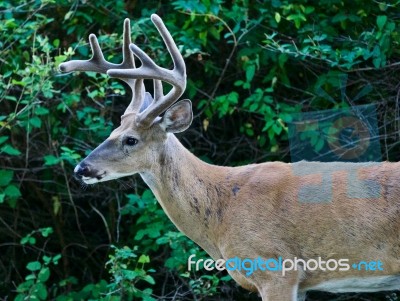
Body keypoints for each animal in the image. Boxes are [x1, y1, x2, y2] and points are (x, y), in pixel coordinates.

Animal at [59, 14, 400, 300]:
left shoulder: (276, 269)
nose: (81, 168)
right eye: (112, 130)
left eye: (130, 139)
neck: (221, 212)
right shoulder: (300, 283)